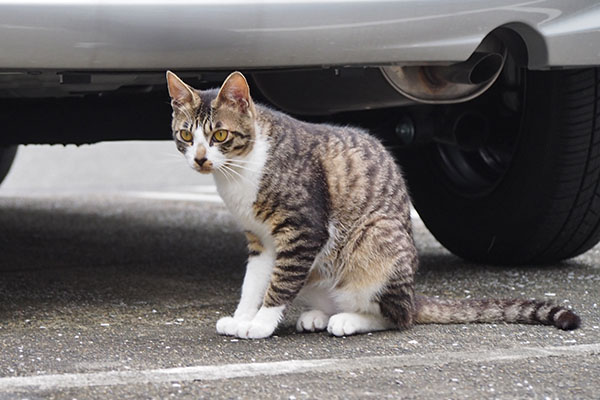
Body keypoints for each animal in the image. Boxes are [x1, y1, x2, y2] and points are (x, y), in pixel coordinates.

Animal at [166, 70, 580, 340]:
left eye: (220, 135)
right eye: (186, 135)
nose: (200, 159)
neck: (241, 171)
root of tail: (412, 292)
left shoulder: (303, 230)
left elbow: (280, 283)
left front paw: (262, 324)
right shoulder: (261, 241)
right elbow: (253, 282)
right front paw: (242, 318)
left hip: (375, 238)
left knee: (398, 316)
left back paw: (350, 320)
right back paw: (320, 315)